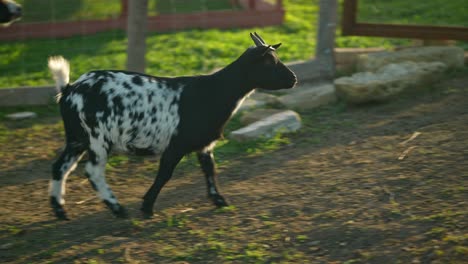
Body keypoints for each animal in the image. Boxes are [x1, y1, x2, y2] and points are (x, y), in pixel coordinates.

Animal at [47, 32, 296, 220]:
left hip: (77, 138)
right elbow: (165, 174)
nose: (293, 78)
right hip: (97, 139)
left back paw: (60, 210)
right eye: (270, 63)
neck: (214, 92)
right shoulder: (176, 145)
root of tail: (69, 89)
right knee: (93, 171)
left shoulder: (204, 144)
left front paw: (220, 200)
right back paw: (117, 208)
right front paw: (147, 207)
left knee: (60, 167)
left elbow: (210, 169)